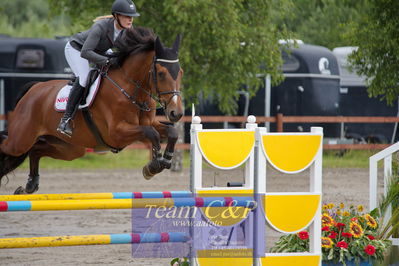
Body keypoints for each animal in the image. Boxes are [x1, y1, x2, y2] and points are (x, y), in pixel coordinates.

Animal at [0, 26, 184, 193]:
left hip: (69, 148)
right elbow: (151, 133)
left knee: (36, 150)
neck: (131, 90)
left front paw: (166, 160)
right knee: (8, 146)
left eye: (180, 72)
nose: (176, 113)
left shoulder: (150, 122)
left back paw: (29, 186)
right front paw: (153, 166)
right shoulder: (117, 133)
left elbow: (172, 132)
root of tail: (34, 88)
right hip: (20, 140)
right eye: (161, 73)